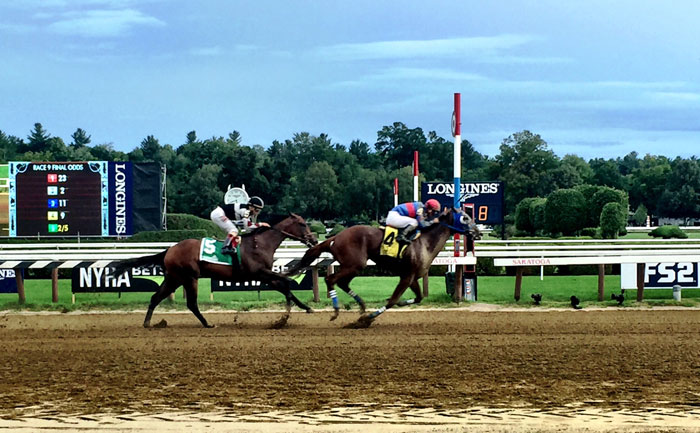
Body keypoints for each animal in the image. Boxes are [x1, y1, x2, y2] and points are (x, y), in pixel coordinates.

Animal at [113, 213, 318, 328]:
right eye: (302, 224)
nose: (314, 240)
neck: (260, 244)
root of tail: (170, 249)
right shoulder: (260, 273)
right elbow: (285, 283)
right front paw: (285, 316)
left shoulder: (265, 276)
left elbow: (285, 288)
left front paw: (305, 308)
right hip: (189, 277)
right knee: (192, 304)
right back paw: (207, 324)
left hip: (174, 278)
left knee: (155, 298)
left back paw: (148, 323)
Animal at [284, 208, 476, 326]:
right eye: (465, 217)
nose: (477, 232)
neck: (424, 243)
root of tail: (334, 237)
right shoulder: (407, 276)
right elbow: (391, 301)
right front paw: (368, 319)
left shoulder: (411, 276)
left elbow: (418, 297)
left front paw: (401, 302)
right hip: (354, 264)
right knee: (331, 279)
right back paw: (338, 310)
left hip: (354, 266)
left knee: (342, 283)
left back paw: (361, 305)